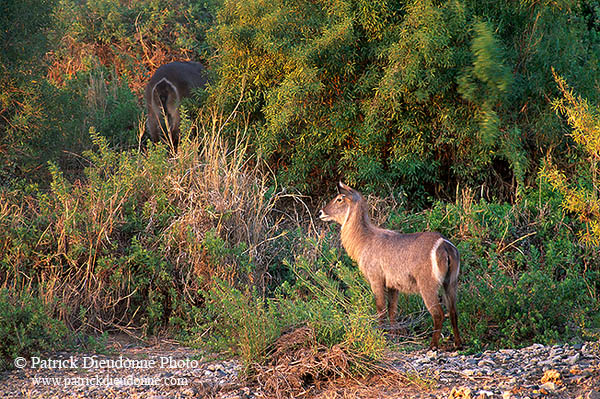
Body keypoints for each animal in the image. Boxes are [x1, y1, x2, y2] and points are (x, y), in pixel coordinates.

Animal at [318, 182, 464, 350]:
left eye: (339, 198)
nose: (321, 212)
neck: (364, 240)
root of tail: (444, 245)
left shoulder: (376, 279)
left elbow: (380, 308)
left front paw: (381, 335)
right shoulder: (393, 285)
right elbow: (392, 310)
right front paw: (393, 336)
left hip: (428, 285)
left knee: (438, 313)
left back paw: (433, 345)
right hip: (451, 282)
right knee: (453, 311)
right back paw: (458, 344)